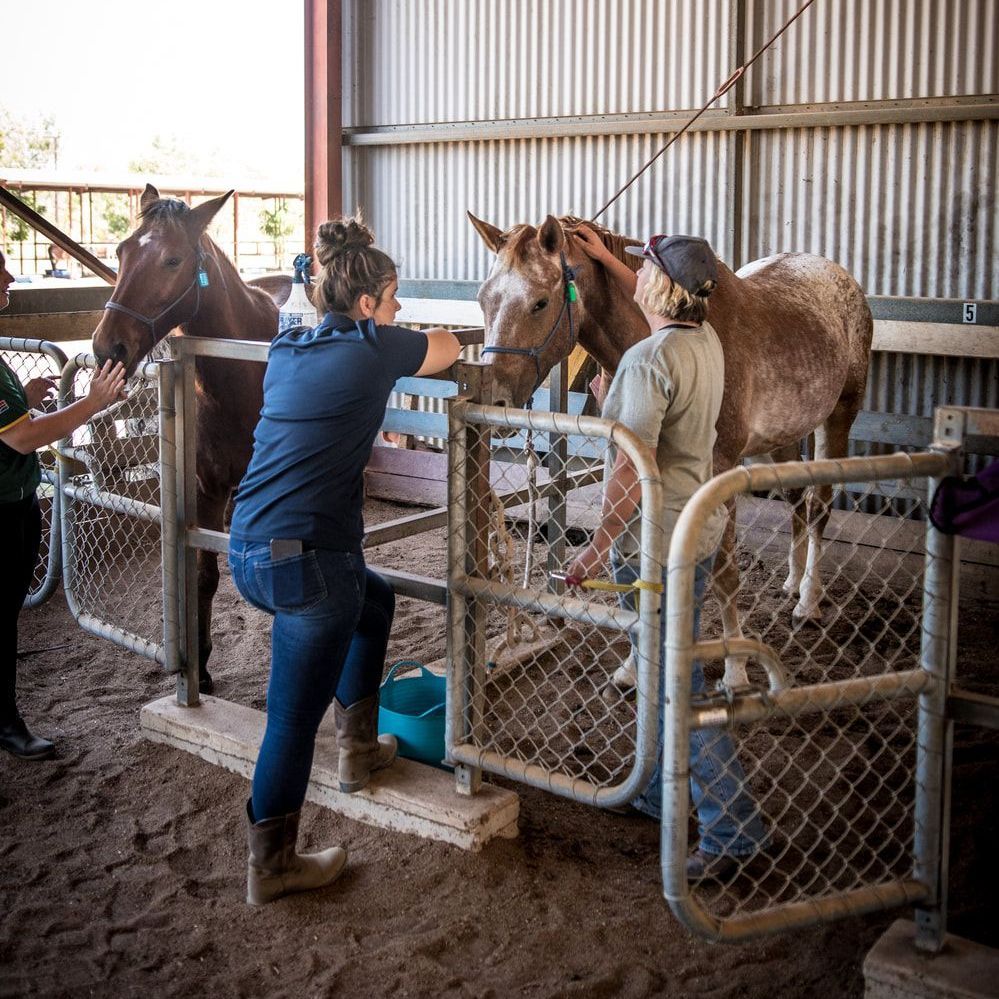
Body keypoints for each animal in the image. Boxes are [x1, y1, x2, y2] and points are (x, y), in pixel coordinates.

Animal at [92, 184, 296, 692]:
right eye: (121, 251)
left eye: (172, 259)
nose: (107, 348)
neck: (245, 376)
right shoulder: (208, 488)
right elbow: (205, 575)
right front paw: (199, 668)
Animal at [467, 212, 874, 687]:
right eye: (483, 299)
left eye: (539, 303)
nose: (493, 402)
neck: (669, 332)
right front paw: (632, 666)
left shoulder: (718, 472)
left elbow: (724, 572)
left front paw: (736, 671)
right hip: (785, 435)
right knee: (796, 500)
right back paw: (792, 583)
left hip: (839, 415)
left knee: (820, 504)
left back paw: (808, 600)